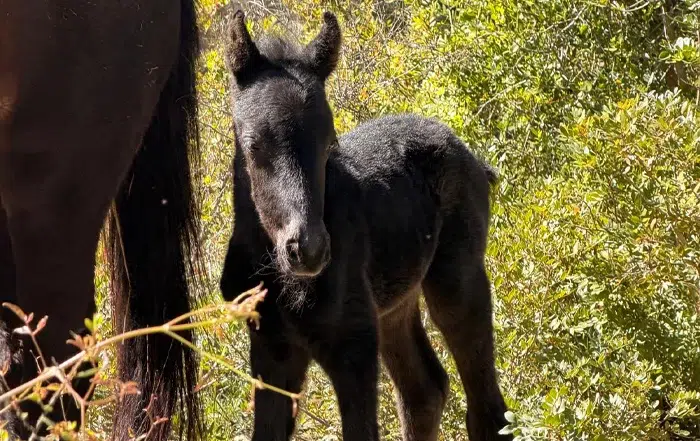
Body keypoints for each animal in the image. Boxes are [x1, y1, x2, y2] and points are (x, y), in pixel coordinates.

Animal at [220, 11, 513, 441]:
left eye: (328, 143)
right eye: (254, 145)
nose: (308, 249)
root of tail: (473, 158)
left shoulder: (353, 342)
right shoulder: (272, 345)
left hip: (456, 280)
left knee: (486, 409)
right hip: (394, 305)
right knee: (424, 390)